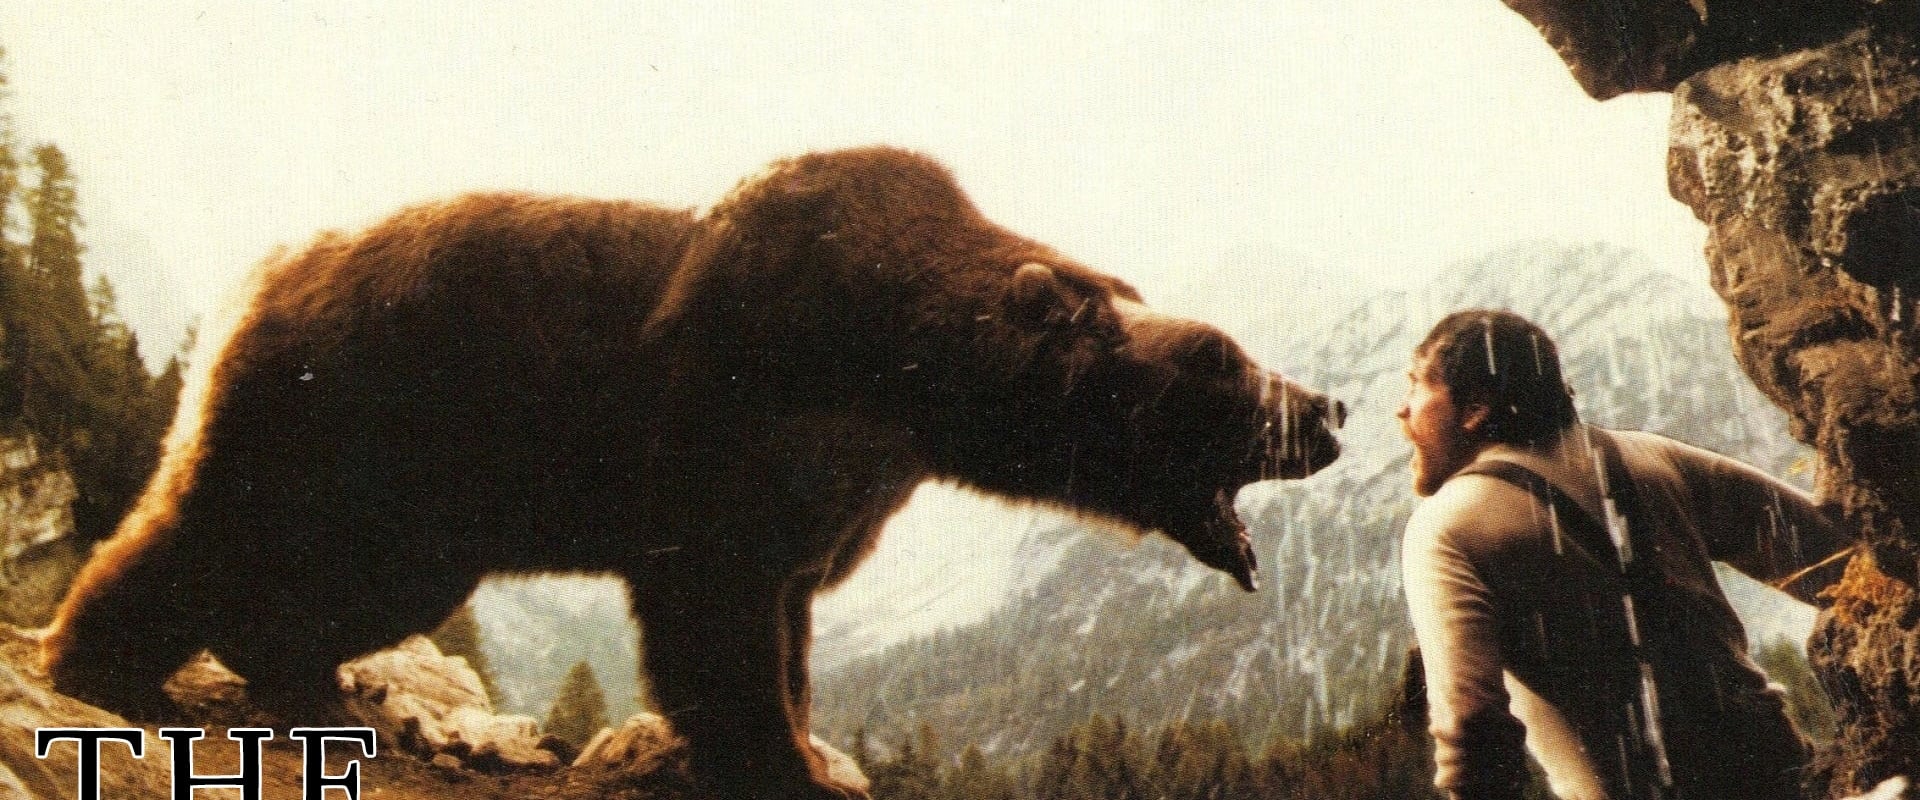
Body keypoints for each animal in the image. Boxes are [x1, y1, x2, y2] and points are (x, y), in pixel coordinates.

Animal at [41, 146, 1343, 799]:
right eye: (1222, 360)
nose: (1327, 407)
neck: (900, 365)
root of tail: (264, 269)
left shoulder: (845, 481)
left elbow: (788, 611)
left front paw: (807, 740)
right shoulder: (734, 410)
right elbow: (716, 607)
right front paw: (776, 763)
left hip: (426, 502)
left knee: (358, 584)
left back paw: (307, 678)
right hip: (353, 407)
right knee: (216, 527)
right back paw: (103, 663)